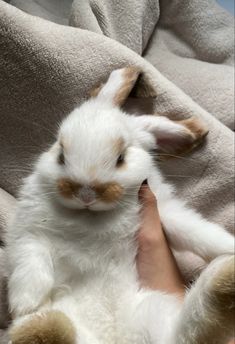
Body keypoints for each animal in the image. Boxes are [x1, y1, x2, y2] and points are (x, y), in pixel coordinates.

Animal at [6, 68, 234, 344]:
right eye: (60, 154)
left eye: (121, 158)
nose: (86, 194)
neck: (90, 217)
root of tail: (116, 340)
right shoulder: (28, 228)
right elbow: (30, 257)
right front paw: (26, 302)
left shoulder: (165, 213)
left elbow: (199, 233)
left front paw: (230, 247)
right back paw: (41, 325)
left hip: (151, 310)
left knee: (188, 331)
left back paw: (224, 278)